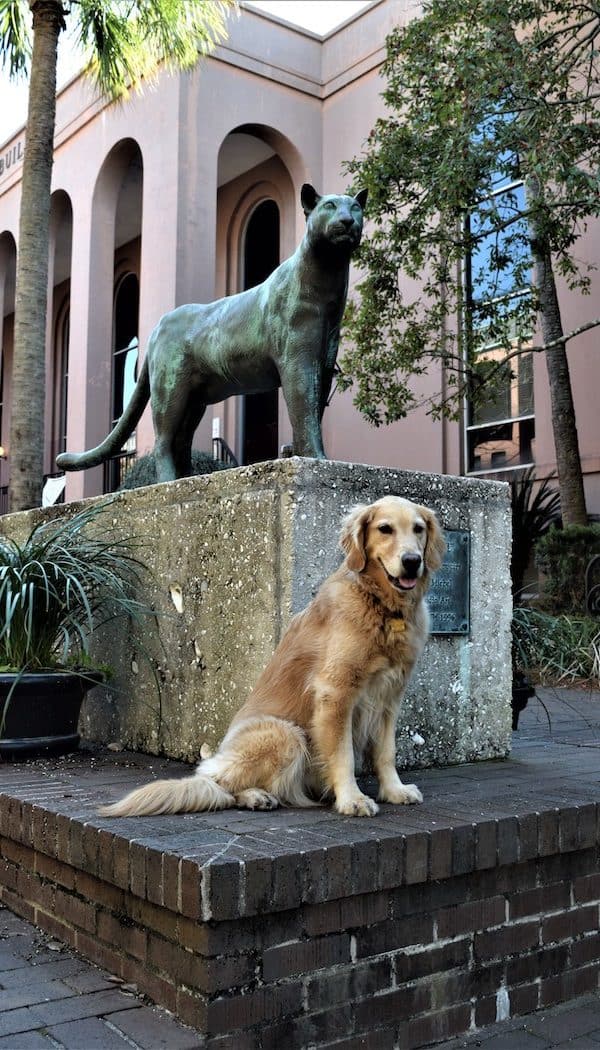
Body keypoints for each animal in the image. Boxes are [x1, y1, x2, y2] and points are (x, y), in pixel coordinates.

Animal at [99, 497, 445, 818]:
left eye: (418, 529)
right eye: (385, 529)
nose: (412, 561)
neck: (383, 607)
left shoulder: (389, 696)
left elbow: (386, 752)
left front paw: (395, 790)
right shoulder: (335, 693)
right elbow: (342, 754)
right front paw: (352, 799)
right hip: (286, 733)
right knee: (222, 787)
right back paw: (255, 796)